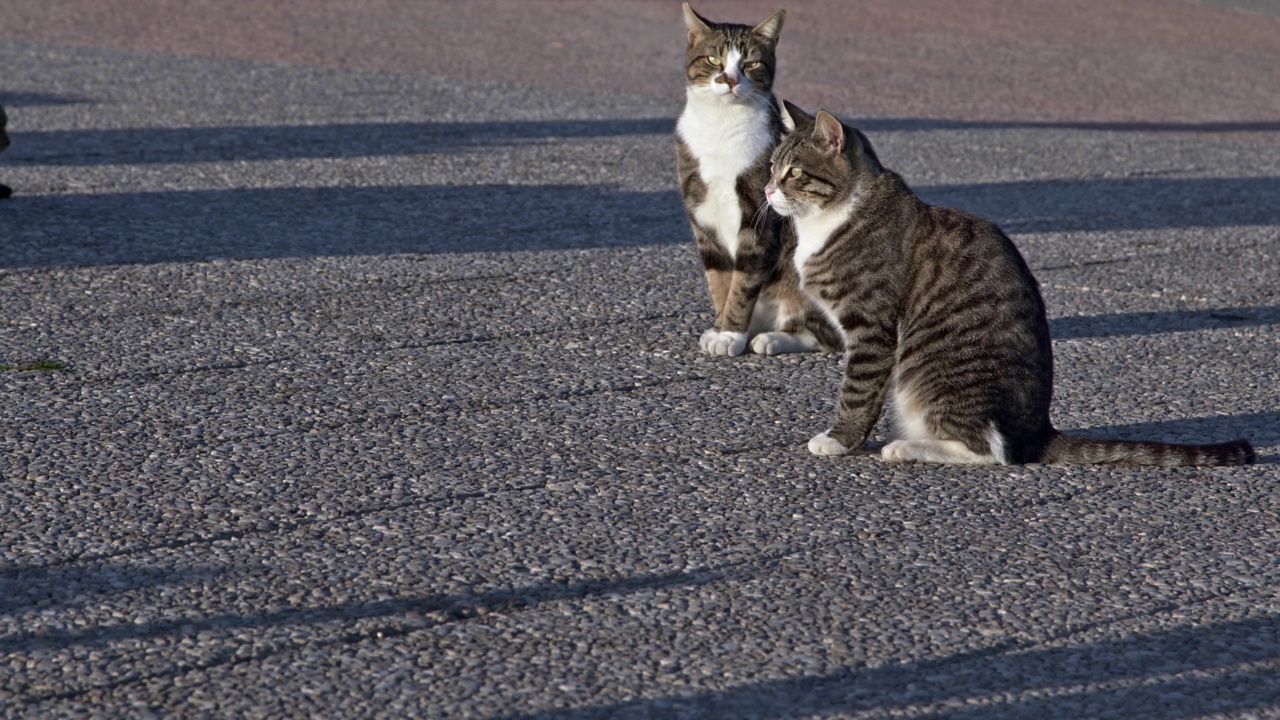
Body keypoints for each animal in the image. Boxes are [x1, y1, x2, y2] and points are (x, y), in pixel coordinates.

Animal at [675, 2, 844, 356]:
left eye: (751, 63)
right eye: (714, 59)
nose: (729, 79)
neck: (720, 125)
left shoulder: (757, 213)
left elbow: (743, 280)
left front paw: (730, 333)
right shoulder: (702, 213)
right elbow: (720, 280)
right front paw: (720, 326)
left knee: (825, 334)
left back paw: (771, 338)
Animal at [762, 103, 1254, 468]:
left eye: (795, 173)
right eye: (770, 168)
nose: (766, 191)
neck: (830, 218)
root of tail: (1039, 431)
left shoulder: (871, 328)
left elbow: (857, 392)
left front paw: (840, 439)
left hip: (931, 371)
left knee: (992, 451)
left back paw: (908, 446)